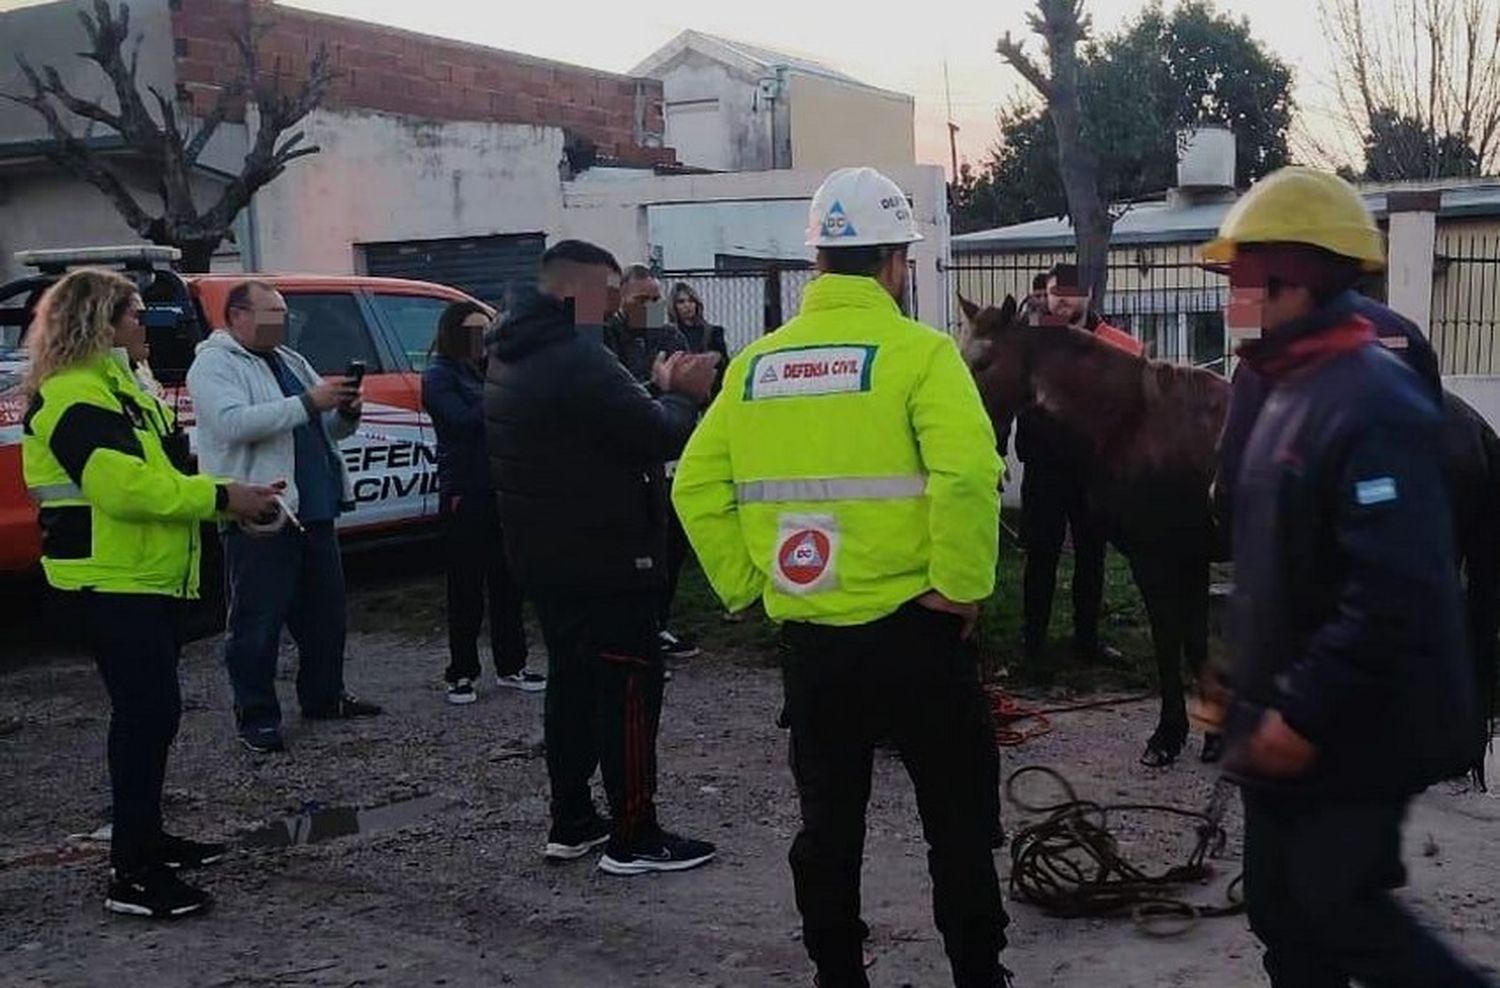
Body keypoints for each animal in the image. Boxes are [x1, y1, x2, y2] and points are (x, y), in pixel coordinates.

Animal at [960, 293, 1500, 779]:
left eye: (983, 361)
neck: (1132, 421)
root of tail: (1473, 426)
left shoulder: (1156, 559)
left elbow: (1170, 643)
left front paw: (1167, 737)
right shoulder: (1191, 558)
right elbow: (1196, 642)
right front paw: (1210, 736)